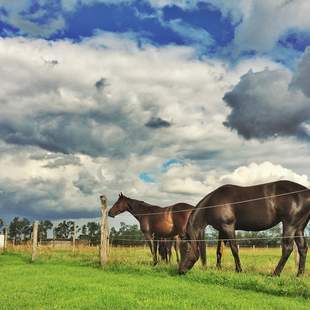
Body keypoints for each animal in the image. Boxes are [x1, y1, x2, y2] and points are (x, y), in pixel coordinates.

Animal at [178, 179, 310, 276]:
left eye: (187, 250)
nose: (180, 271)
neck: (213, 203)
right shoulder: (221, 230)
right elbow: (219, 250)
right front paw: (218, 268)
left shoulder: (228, 227)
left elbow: (234, 249)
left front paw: (239, 270)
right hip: (298, 228)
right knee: (302, 248)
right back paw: (299, 275)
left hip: (290, 225)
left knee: (287, 248)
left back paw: (275, 274)